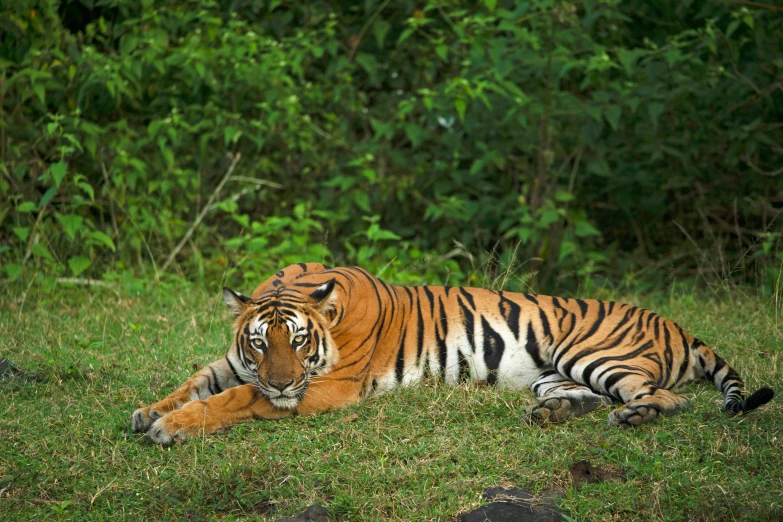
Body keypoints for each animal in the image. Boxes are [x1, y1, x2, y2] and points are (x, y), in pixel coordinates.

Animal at [132, 262, 776, 440]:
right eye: (261, 343)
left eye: (298, 341)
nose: (284, 382)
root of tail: (678, 325)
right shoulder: (238, 364)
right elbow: (199, 379)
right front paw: (148, 411)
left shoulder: (328, 388)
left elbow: (235, 398)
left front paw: (171, 427)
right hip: (554, 373)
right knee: (585, 398)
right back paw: (552, 414)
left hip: (595, 354)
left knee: (669, 398)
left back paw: (633, 416)